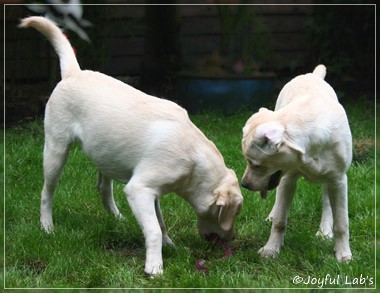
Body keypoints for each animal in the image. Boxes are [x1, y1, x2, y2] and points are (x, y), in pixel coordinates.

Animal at [18, 17, 243, 274]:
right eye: (232, 213)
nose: (229, 241)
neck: (194, 157)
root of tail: (74, 73)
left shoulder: (151, 192)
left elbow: (160, 223)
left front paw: (170, 246)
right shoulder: (139, 189)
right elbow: (154, 229)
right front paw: (154, 266)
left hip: (106, 153)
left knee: (103, 189)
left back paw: (117, 219)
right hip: (55, 150)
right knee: (47, 192)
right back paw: (47, 227)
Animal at [242, 65, 352, 262]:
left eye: (256, 164)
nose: (244, 184)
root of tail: (312, 75)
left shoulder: (339, 180)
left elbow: (341, 223)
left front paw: (343, 254)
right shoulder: (288, 179)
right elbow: (280, 220)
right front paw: (271, 249)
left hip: (331, 182)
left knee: (327, 204)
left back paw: (324, 231)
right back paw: (272, 215)